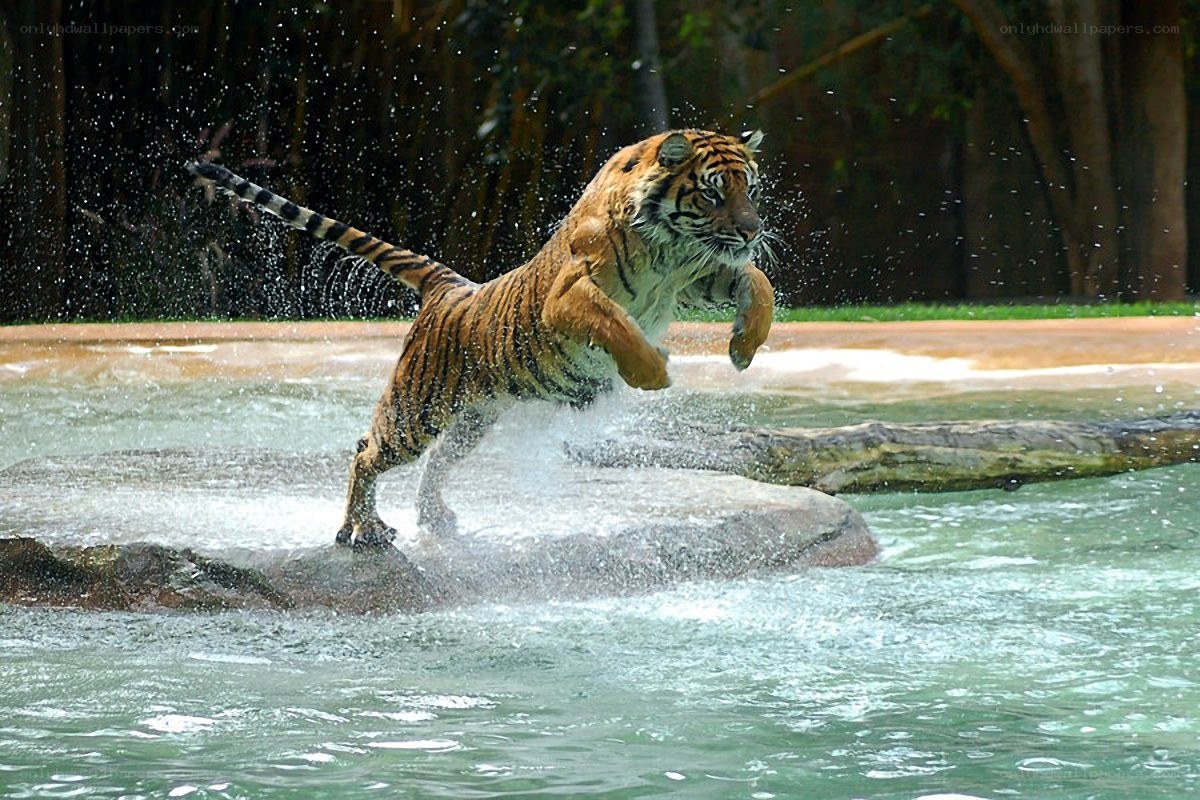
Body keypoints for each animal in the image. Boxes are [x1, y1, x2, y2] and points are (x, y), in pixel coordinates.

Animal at [186, 128, 775, 551]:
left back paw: (435, 520)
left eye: (750, 188)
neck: (669, 249)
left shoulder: (700, 275)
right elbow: (616, 324)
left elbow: (757, 282)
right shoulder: (570, 295)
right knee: (366, 451)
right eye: (712, 192)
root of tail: (450, 287)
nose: (752, 231)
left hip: (473, 417)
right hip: (416, 410)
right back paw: (363, 531)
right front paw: (653, 370)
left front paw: (743, 347)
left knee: (436, 462)